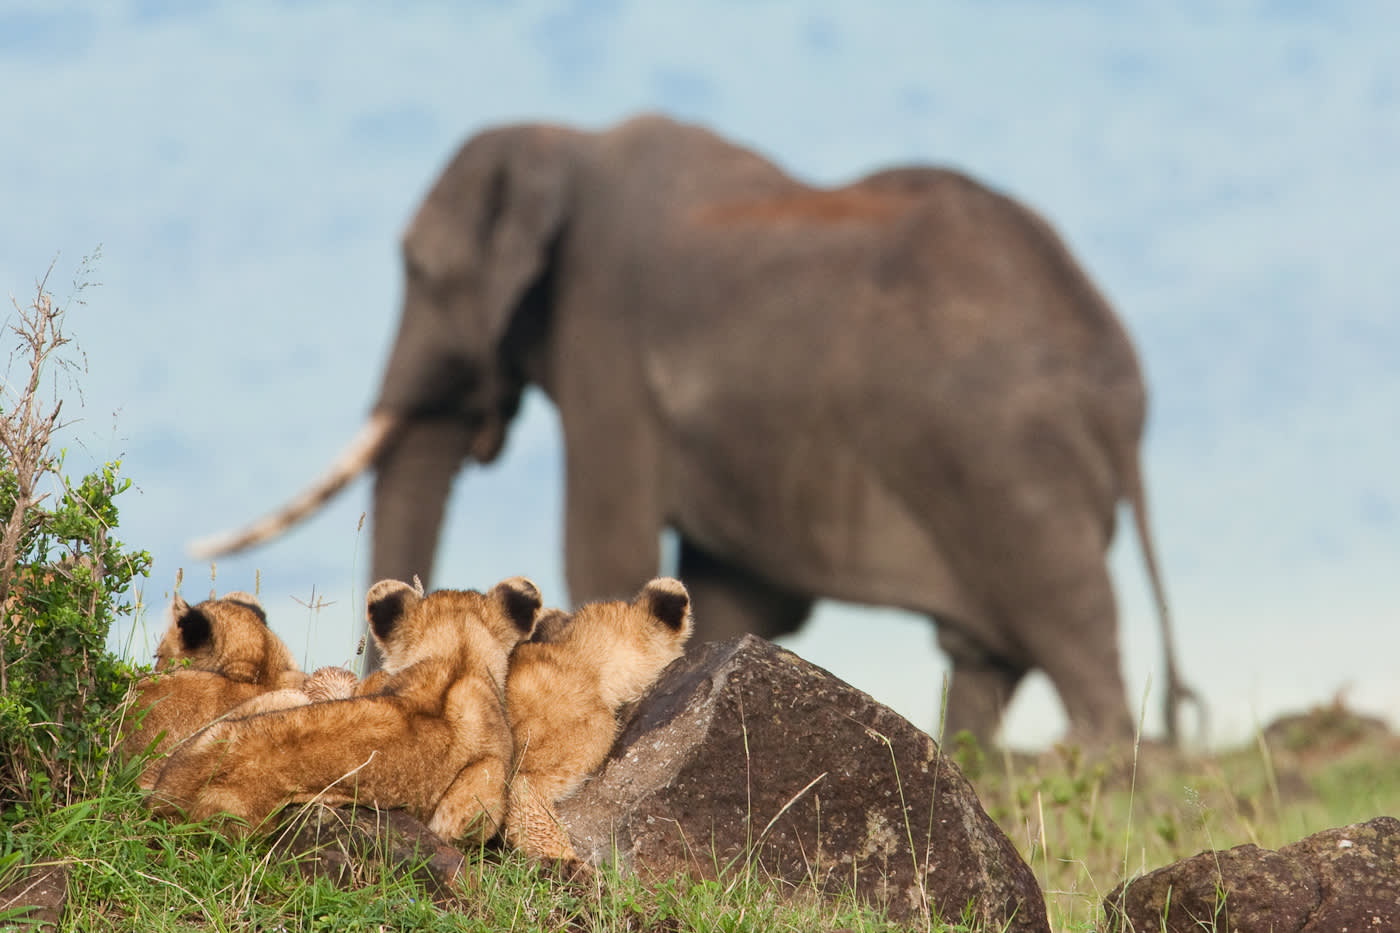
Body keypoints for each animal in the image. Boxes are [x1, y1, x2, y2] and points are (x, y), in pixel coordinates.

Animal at [197, 112, 1198, 745]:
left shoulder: (604, 336)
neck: (567, 143)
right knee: (987, 654)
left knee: (1073, 635)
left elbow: (607, 541)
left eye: (427, 275)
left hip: (1010, 460)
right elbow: (735, 588)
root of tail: (1129, 397)